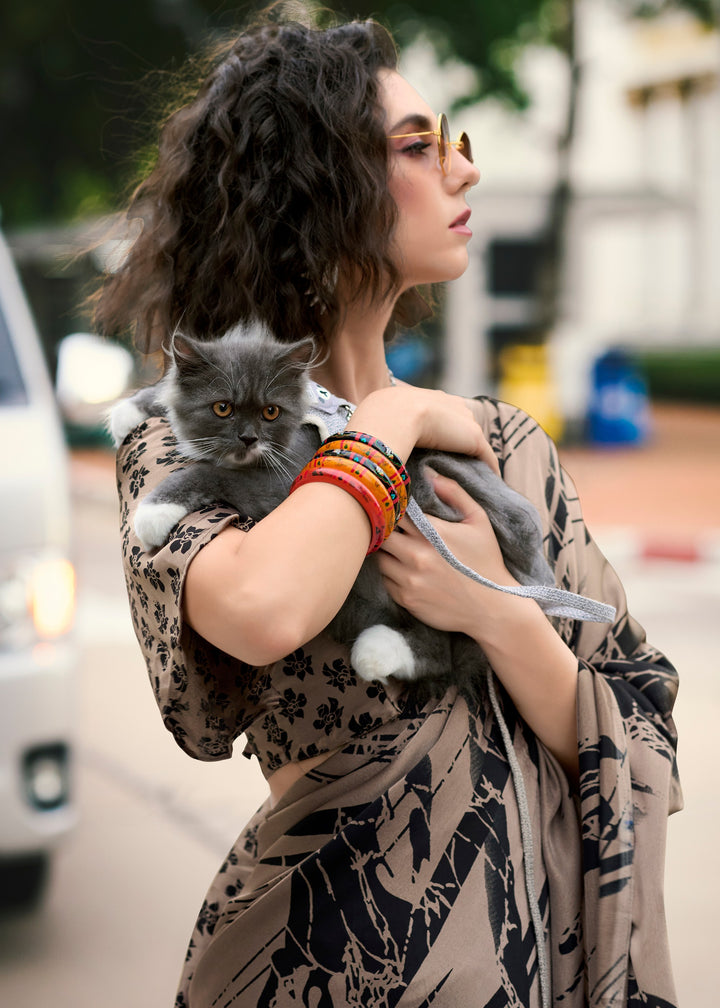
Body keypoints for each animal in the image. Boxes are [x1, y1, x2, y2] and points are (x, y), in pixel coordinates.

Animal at [109, 324, 552, 701]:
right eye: (222, 408)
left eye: (270, 412)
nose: (248, 438)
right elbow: (169, 391)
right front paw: (130, 408)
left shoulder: (283, 482)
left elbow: (214, 472)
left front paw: (155, 510)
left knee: (443, 645)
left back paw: (377, 651)